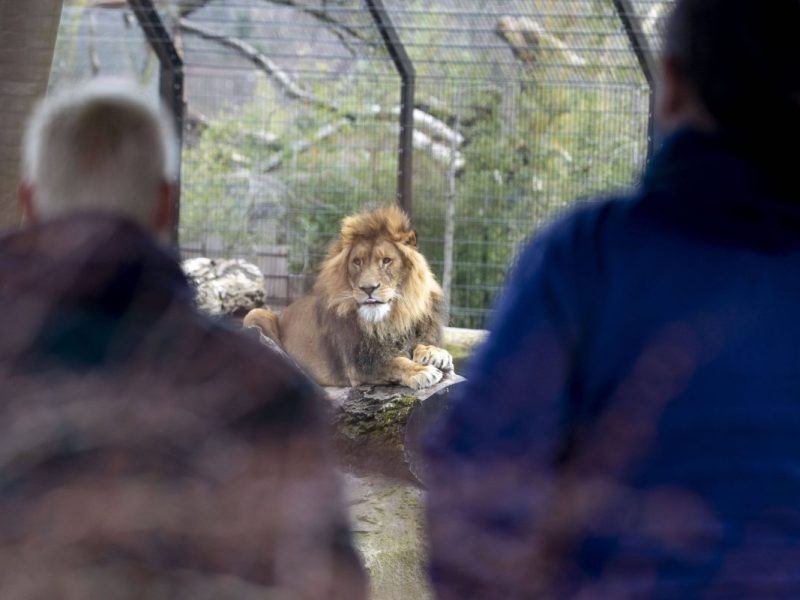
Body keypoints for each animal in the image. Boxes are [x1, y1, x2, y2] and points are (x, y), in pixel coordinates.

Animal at [243, 205, 453, 390]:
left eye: (386, 261)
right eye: (357, 262)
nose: (368, 288)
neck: (391, 320)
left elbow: (419, 344)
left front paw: (435, 353)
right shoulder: (360, 365)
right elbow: (396, 362)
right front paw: (421, 371)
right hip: (256, 314)